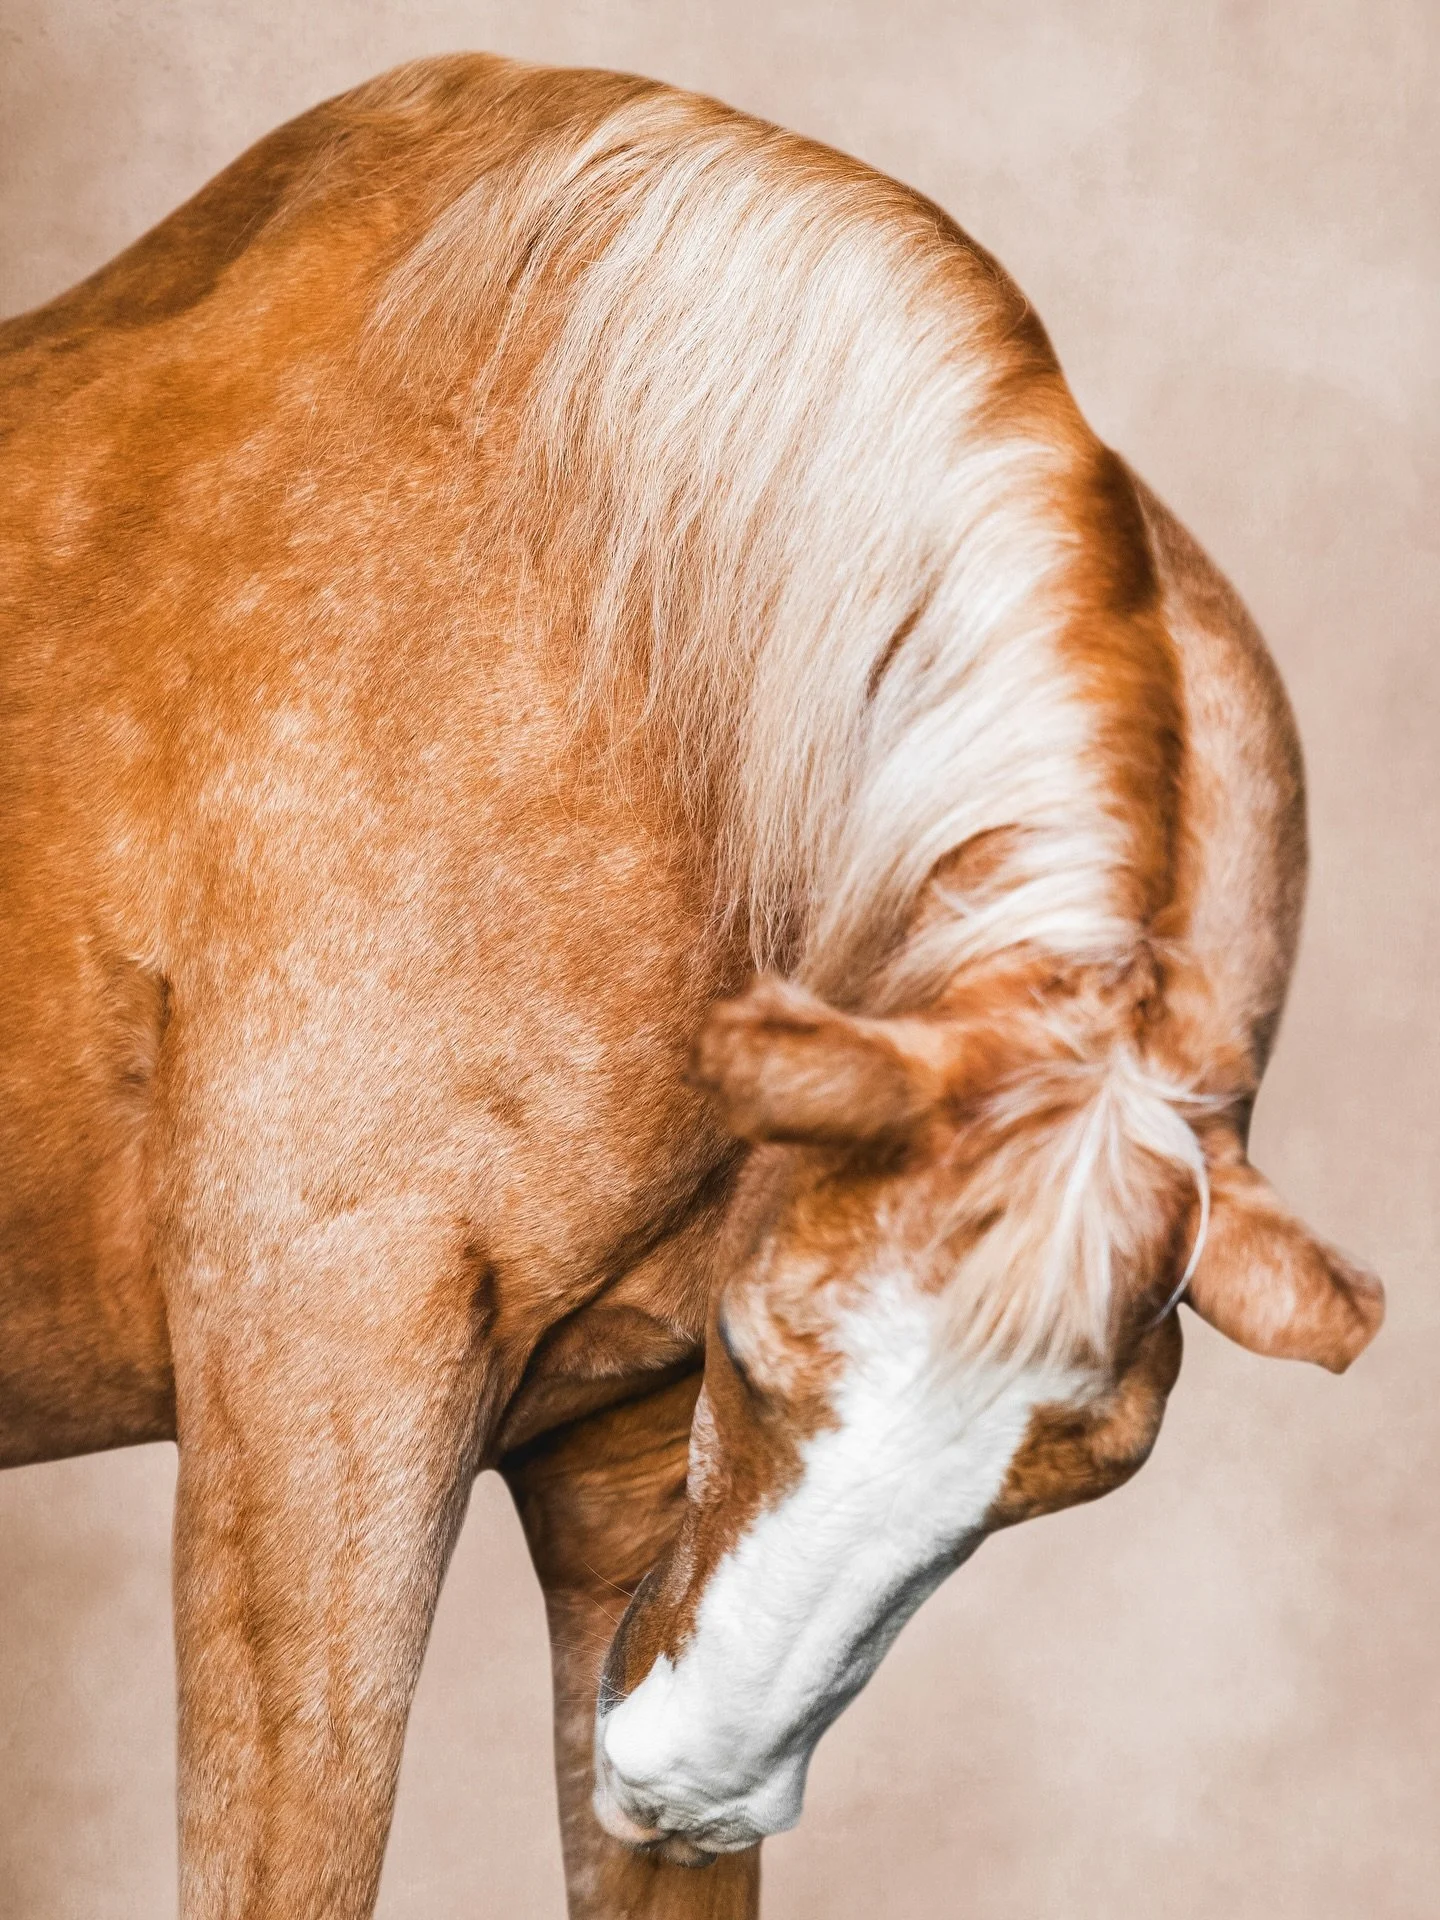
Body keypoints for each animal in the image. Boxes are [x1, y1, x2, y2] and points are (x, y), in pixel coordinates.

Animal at [0, 51, 1384, 1920]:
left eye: (1074, 1473)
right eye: (761, 1344)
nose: (684, 1780)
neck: (626, 658)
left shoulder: (618, 1487)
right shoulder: (308, 1413)